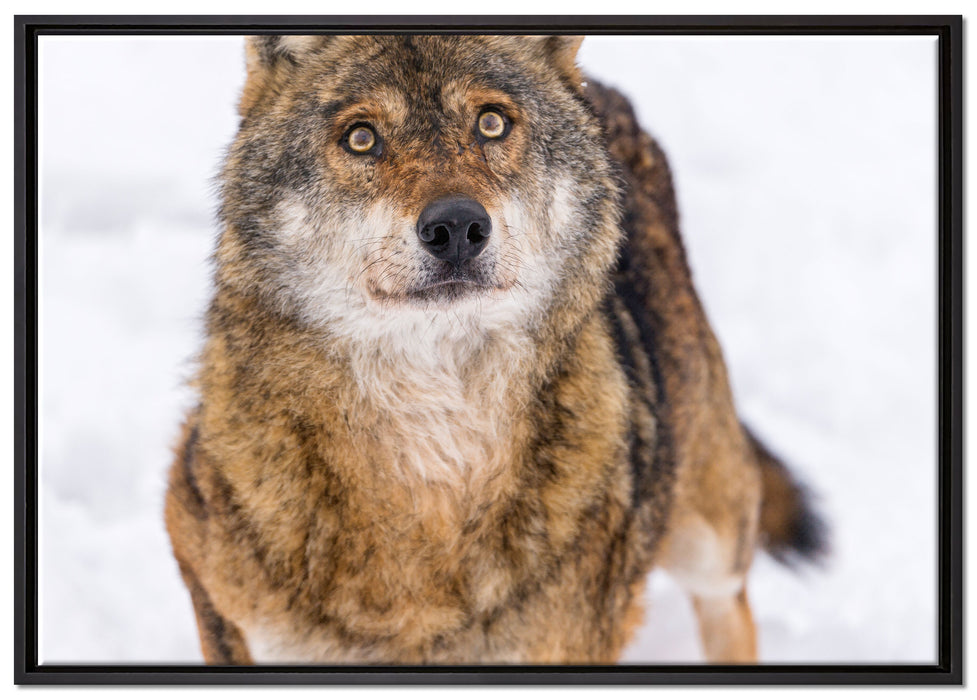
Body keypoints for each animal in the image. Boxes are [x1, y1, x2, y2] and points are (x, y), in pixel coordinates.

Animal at [164, 34, 826, 665]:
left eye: (491, 123)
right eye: (361, 138)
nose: (456, 226)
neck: (434, 449)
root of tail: (600, 91)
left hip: (710, 536)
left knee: (730, 608)